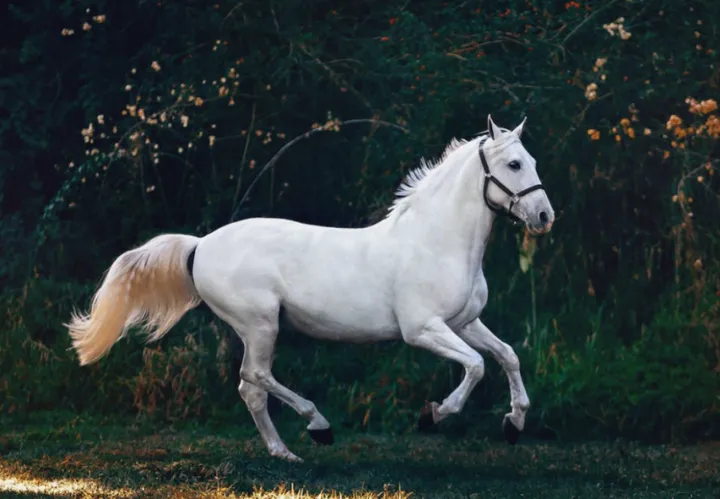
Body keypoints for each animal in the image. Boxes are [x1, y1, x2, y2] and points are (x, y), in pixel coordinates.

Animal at [66, 115, 555, 462]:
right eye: (514, 164)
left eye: (533, 161)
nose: (544, 217)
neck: (436, 242)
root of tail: (200, 245)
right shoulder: (423, 329)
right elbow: (476, 366)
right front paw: (433, 415)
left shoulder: (465, 322)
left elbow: (507, 356)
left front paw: (514, 423)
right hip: (261, 324)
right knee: (255, 377)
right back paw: (318, 426)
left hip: (258, 328)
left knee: (250, 388)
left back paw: (284, 452)